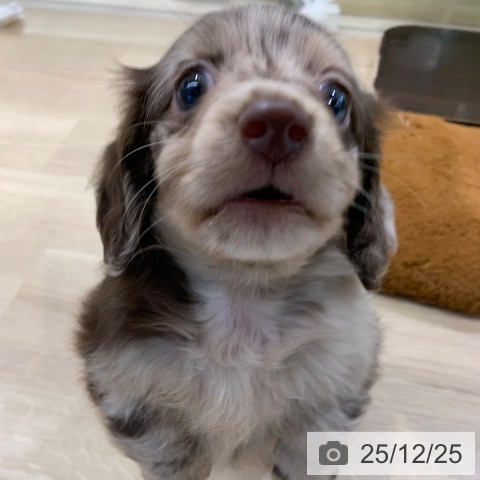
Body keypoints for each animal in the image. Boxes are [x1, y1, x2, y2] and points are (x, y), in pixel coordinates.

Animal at [77, 4, 397, 479]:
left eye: (336, 98)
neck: (243, 301)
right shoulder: (145, 410)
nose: (279, 123)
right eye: (191, 86)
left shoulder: (325, 408)